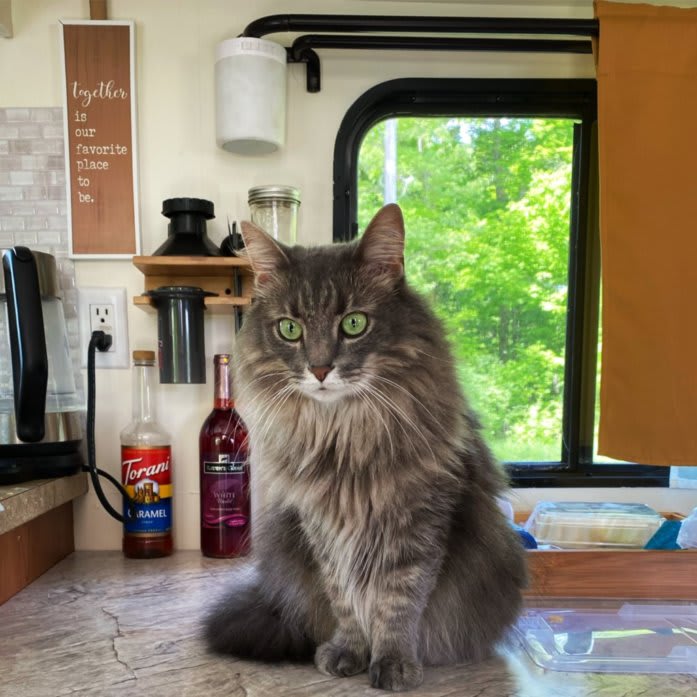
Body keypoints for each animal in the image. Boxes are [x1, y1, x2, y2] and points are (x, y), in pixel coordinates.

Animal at [204, 203, 524, 692]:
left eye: (353, 323)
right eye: (289, 329)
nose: (319, 369)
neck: (343, 435)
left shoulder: (419, 526)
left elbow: (398, 601)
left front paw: (393, 662)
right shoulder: (321, 528)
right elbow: (345, 600)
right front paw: (349, 652)